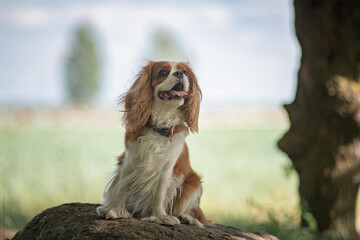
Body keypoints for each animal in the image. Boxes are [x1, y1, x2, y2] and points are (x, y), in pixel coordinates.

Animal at [97, 60, 212, 227]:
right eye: (163, 72)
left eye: (185, 73)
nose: (180, 74)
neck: (160, 126)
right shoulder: (130, 160)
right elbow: (122, 186)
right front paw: (116, 210)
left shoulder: (167, 168)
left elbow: (159, 193)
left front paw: (160, 216)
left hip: (194, 183)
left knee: (188, 210)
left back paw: (187, 218)